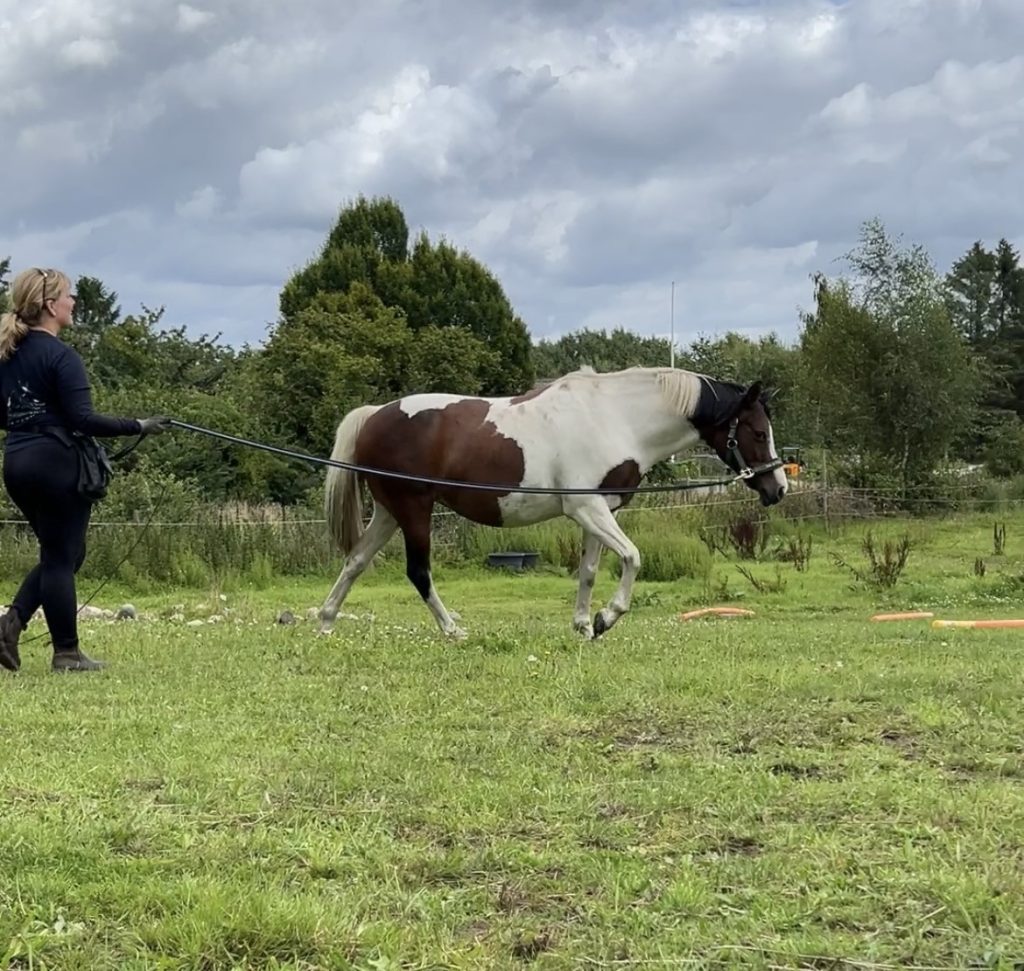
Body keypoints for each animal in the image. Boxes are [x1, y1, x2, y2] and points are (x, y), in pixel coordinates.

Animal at [317, 364, 782, 639]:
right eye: (758, 433)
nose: (777, 488)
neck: (616, 417)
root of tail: (375, 415)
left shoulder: (600, 509)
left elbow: (590, 571)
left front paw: (584, 625)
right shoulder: (587, 509)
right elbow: (632, 557)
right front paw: (607, 617)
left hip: (388, 512)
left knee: (355, 561)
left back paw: (325, 620)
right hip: (414, 509)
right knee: (418, 572)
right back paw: (452, 631)